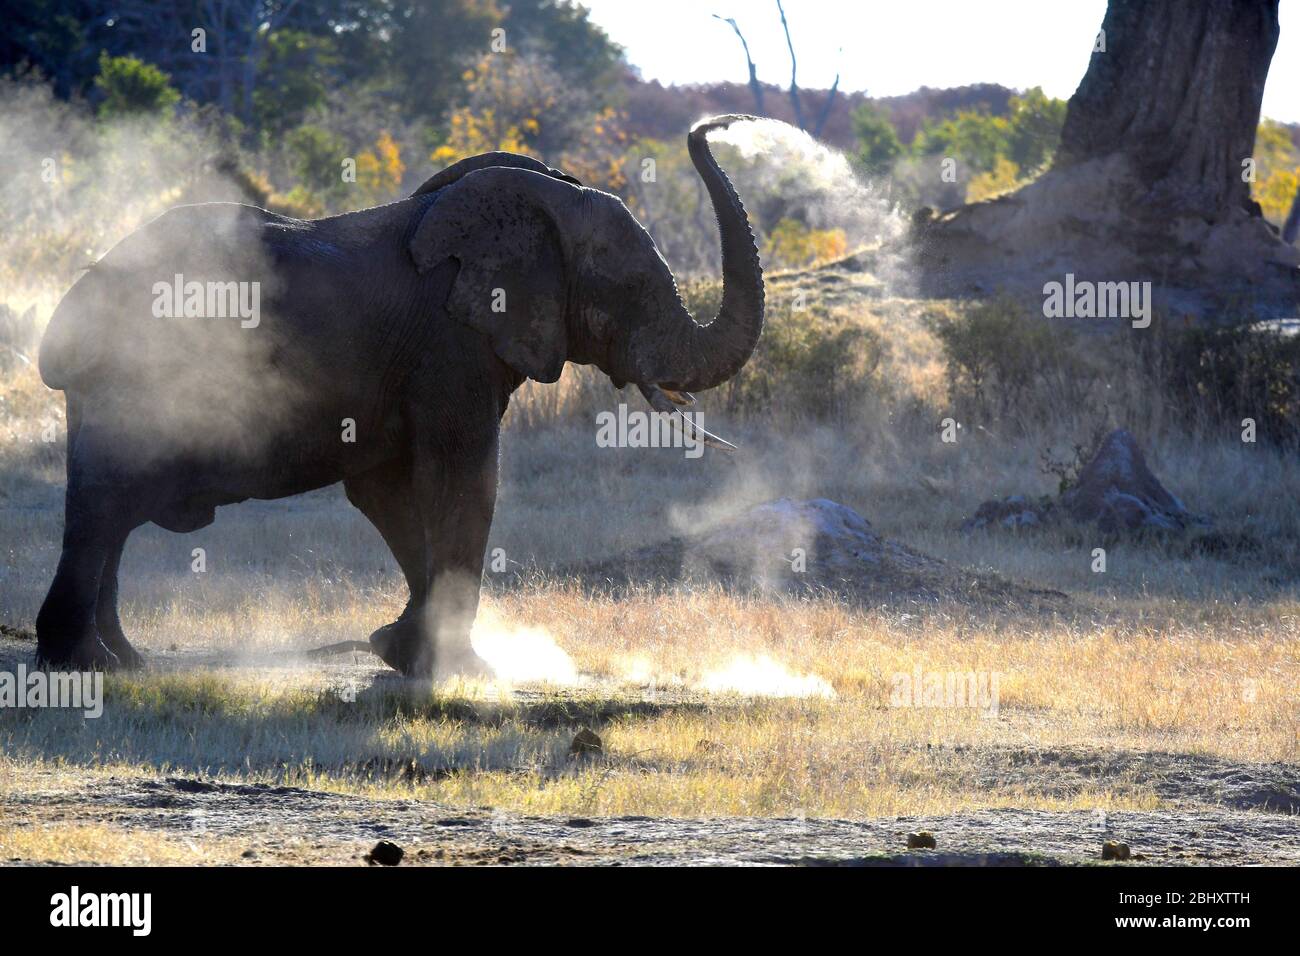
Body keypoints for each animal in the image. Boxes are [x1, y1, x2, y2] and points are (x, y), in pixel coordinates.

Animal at [33, 114, 766, 677]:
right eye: (634, 288)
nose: (715, 125)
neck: (538, 206)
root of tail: (77, 299)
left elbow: (388, 493)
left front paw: (402, 652)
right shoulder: (450, 343)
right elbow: (463, 478)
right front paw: (465, 671)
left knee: (107, 507)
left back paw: (125, 661)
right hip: (141, 376)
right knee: (105, 500)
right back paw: (82, 665)